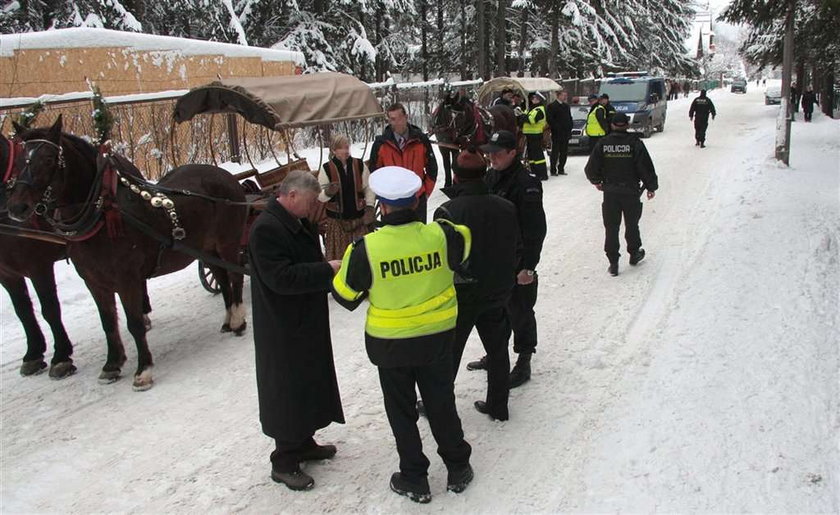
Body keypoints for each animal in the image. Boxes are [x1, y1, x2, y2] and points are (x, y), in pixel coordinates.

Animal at [5, 117, 246, 392]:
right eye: (20, 158)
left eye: (47, 159)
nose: (17, 207)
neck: (103, 214)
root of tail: (226, 176)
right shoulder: (94, 282)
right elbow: (108, 323)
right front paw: (112, 364)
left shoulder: (126, 279)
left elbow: (134, 323)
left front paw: (143, 370)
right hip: (206, 250)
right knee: (222, 279)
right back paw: (228, 320)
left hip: (227, 244)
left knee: (236, 278)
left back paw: (239, 320)